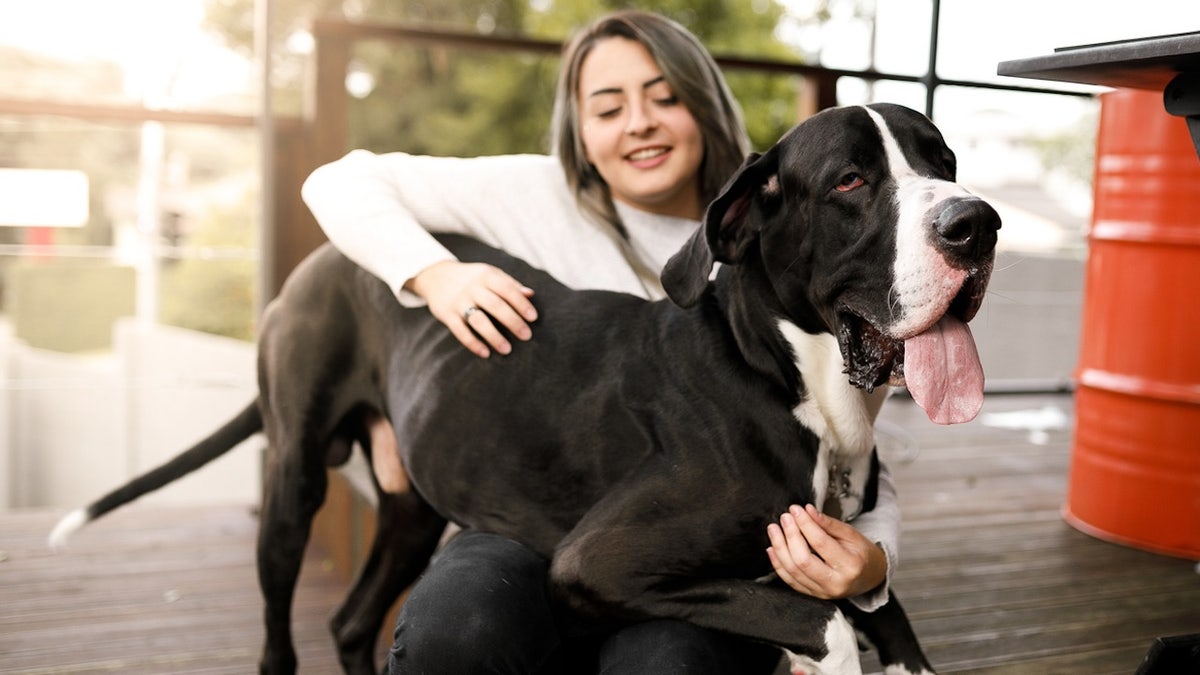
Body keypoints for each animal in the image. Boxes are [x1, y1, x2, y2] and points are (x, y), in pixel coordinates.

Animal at [51, 102, 998, 667]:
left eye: (946, 158)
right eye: (850, 179)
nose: (977, 223)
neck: (782, 373)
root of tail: (313, 264)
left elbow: (879, 610)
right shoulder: (594, 561)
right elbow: (825, 617)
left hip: (412, 505)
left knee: (353, 620)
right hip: (293, 479)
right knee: (280, 627)